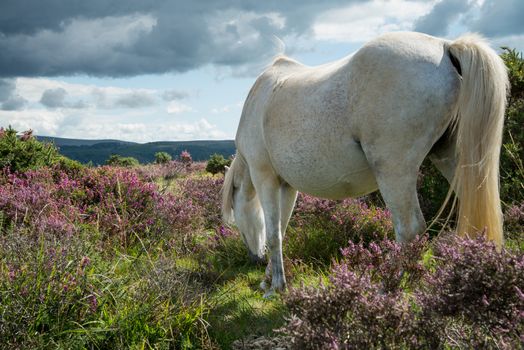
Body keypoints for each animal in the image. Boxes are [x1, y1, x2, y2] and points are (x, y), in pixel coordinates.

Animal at [221, 31, 508, 296]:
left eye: (234, 211)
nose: (254, 258)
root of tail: (445, 46)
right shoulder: (287, 187)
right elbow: (281, 229)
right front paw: (269, 280)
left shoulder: (264, 177)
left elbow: (272, 234)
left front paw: (275, 287)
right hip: (450, 161)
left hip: (394, 171)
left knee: (410, 230)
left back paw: (386, 288)